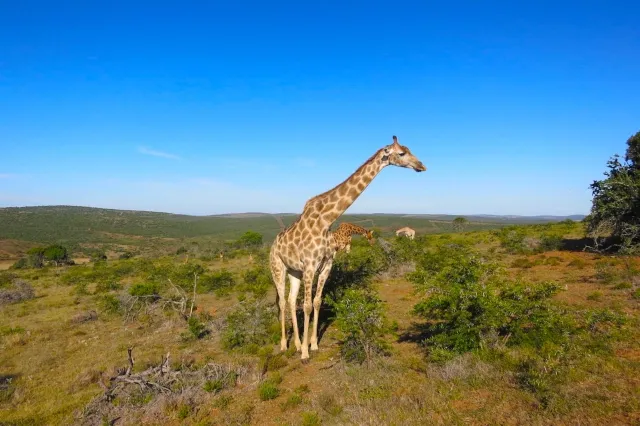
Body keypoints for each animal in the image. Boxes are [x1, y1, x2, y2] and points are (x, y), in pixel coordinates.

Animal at [270, 135, 426, 361]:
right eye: (402, 153)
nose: (421, 165)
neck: (326, 220)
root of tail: (273, 245)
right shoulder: (310, 266)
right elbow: (307, 305)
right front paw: (306, 354)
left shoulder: (326, 265)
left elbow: (317, 302)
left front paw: (313, 345)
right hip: (278, 268)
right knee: (283, 301)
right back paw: (285, 345)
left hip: (294, 271)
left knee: (291, 301)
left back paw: (297, 344)